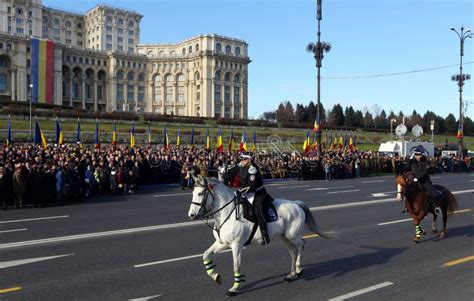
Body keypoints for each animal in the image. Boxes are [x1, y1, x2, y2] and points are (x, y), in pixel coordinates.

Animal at [187, 175, 324, 296]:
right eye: (193, 192)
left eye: (200, 193)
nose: (191, 215)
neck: (228, 213)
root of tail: (296, 204)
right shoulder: (222, 243)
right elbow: (205, 254)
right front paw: (216, 276)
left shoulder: (236, 246)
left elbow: (236, 267)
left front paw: (234, 289)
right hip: (284, 237)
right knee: (293, 252)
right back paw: (291, 275)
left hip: (292, 236)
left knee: (302, 245)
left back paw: (299, 269)